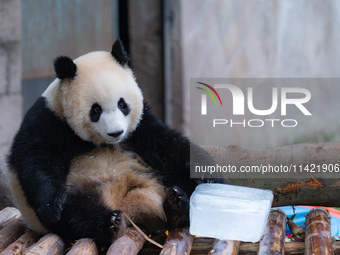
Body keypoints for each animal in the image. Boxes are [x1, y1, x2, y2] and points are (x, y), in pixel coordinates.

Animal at [7, 39, 218, 249]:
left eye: (122, 104)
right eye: (96, 109)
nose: (116, 133)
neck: (99, 142)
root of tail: (126, 203)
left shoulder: (141, 124)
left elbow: (166, 143)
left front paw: (207, 171)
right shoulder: (47, 119)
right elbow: (38, 159)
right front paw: (52, 207)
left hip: (154, 173)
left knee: (181, 180)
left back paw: (178, 205)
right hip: (79, 189)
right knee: (76, 214)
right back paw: (110, 225)